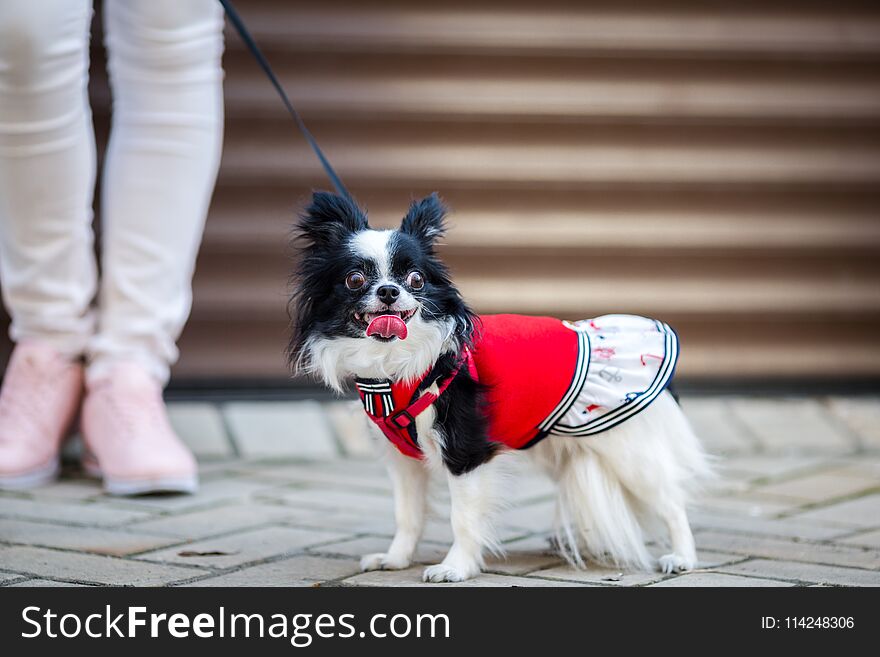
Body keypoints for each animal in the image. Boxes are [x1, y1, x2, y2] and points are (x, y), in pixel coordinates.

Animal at [288, 190, 716, 580]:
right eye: (355, 279)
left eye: (416, 279)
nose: (390, 291)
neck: (397, 364)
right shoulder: (403, 463)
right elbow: (407, 515)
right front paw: (396, 559)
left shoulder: (465, 453)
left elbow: (463, 517)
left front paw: (456, 568)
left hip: (627, 450)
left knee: (671, 501)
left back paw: (683, 558)